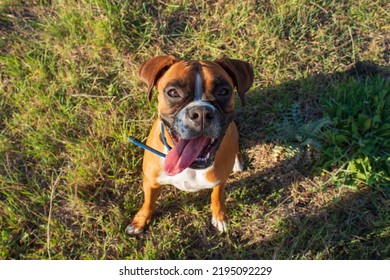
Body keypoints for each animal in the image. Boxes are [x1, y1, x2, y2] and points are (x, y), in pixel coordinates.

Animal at [125, 55, 253, 234]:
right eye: (173, 92)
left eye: (223, 91)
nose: (202, 113)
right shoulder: (150, 182)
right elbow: (148, 202)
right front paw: (139, 222)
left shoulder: (220, 182)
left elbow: (217, 196)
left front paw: (220, 216)